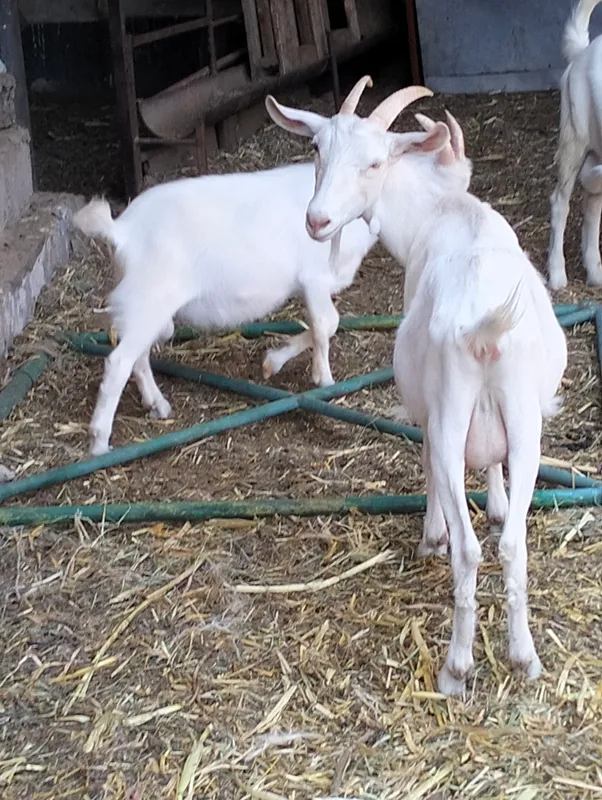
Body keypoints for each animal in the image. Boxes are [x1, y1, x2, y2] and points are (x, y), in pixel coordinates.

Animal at [73, 80, 383, 456]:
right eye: (318, 148)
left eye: (375, 162)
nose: (319, 219)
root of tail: (122, 231)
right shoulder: (313, 279)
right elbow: (327, 323)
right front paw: (322, 379)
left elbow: (323, 325)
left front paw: (272, 362)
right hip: (148, 300)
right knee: (119, 361)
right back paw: (100, 445)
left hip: (147, 307)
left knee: (139, 353)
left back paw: (158, 406)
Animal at [267, 78, 568, 695]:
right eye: (317, 150)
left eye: (374, 162)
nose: (317, 221)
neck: (445, 210)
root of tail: (484, 332)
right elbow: (494, 471)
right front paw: (497, 504)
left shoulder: (429, 412)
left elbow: (426, 461)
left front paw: (432, 535)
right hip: (526, 421)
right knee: (512, 543)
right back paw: (523, 657)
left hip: (452, 411)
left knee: (469, 546)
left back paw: (456, 667)